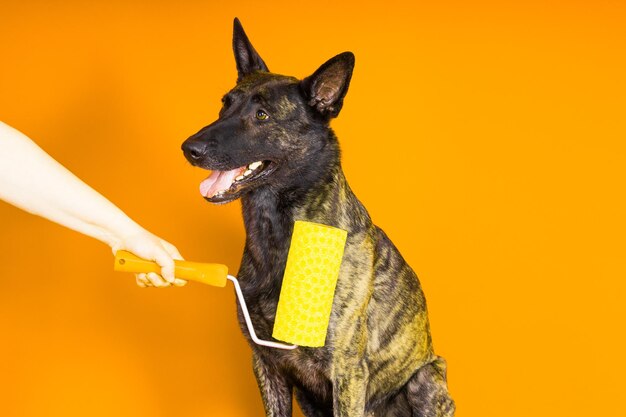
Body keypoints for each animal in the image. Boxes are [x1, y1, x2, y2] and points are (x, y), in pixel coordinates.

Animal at [180, 17, 454, 414]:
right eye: (224, 105)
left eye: (262, 115)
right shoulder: (266, 363)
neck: (279, 231)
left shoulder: (347, 372)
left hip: (427, 377)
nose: (189, 149)